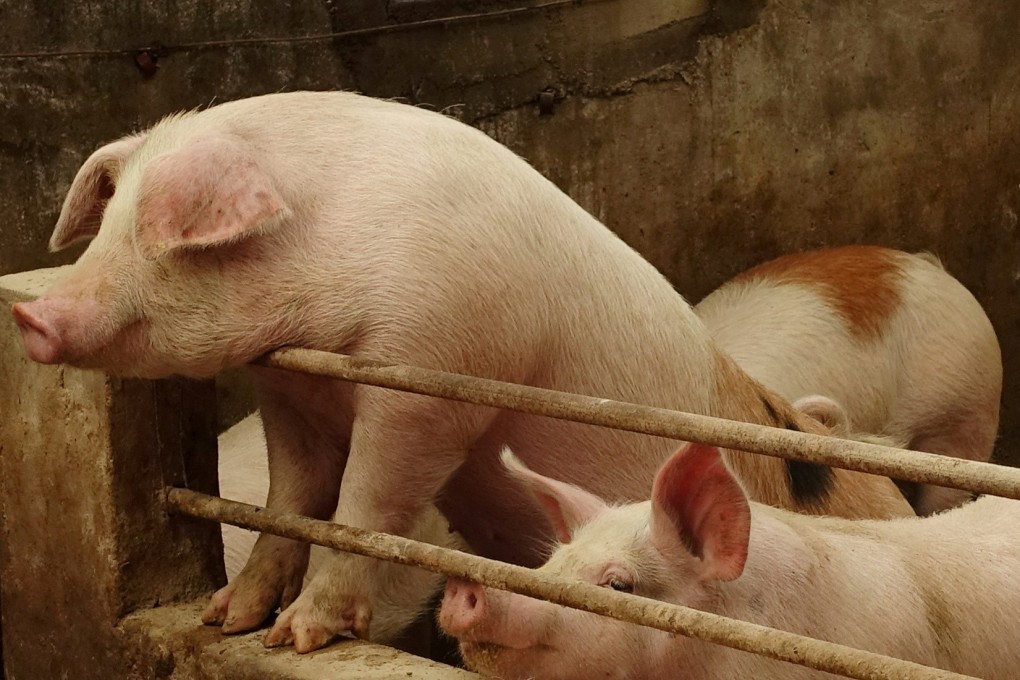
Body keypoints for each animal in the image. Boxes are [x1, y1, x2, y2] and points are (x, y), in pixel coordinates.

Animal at [10, 91, 911, 653]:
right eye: (108, 221)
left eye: (161, 234)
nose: (30, 315)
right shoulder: (291, 391)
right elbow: (288, 503)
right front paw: (226, 621)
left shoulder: (434, 372)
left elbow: (365, 506)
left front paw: (297, 637)